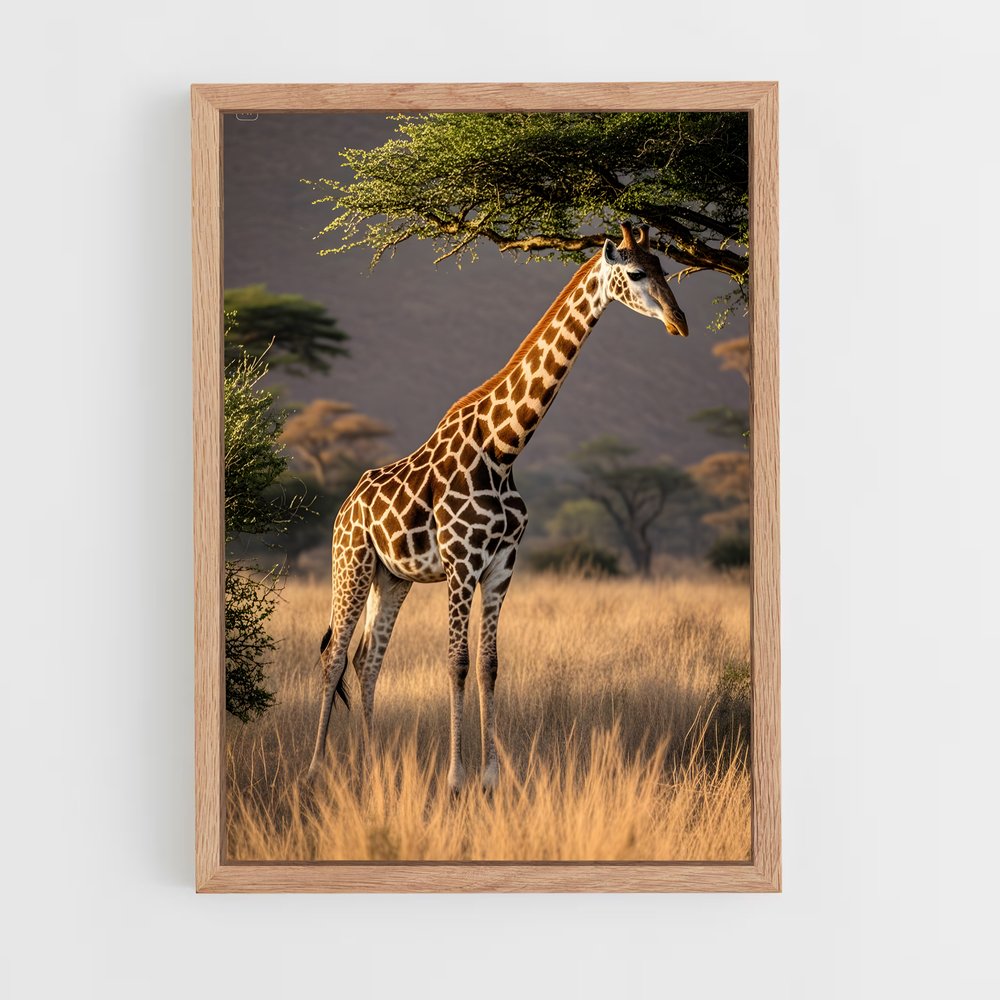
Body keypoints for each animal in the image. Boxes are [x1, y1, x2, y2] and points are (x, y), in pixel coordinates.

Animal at [306, 222, 688, 793]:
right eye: (638, 273)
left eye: (667, 266)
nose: (679, 322)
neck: (504, 447)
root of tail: (344, 508)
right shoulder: (462, 562)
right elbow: (457, 662)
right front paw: (455, 779)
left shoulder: (503, 564)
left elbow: (489, 664)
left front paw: (489, 778)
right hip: (349, 562)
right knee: (333, 657)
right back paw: (313, 771)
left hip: (390, 577)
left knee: (367, 659)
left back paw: (371, 769)